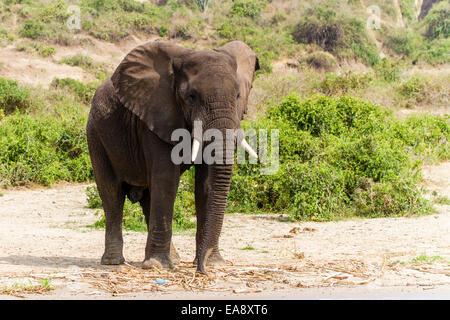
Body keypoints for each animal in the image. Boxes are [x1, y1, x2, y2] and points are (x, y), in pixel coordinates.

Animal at [85, 39, 258, 276]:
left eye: (238, 96)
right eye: (191, 97)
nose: (201, 271)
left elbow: (205, 185)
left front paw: (213, 263)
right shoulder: (156, 115)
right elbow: (166, 178)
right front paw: (158, 266)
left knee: (148, 196)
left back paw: (172, 258)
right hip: (96, 135)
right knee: (112, 194)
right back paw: (115, 262)